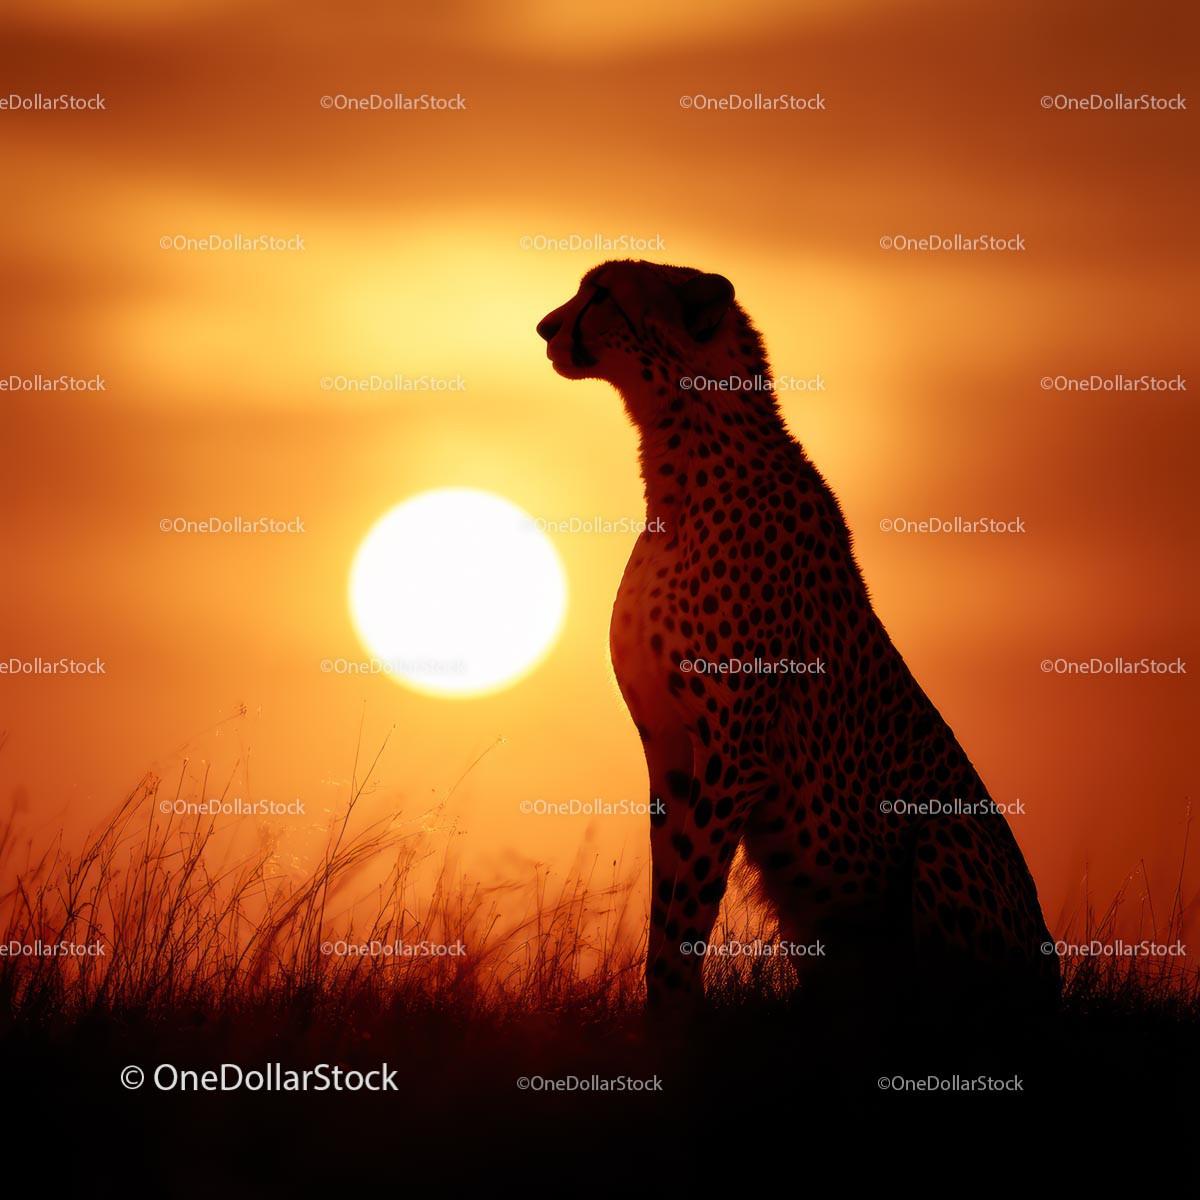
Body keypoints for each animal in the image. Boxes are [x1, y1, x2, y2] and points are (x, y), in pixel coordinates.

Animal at [537, 259, 1059, 1018]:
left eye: (601, 294)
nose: (544, 326)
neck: (678, 468)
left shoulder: (734, 752)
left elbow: (689, 907)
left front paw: (674, 1017)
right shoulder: (669, 749)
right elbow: (667, 899)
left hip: (949, 834)